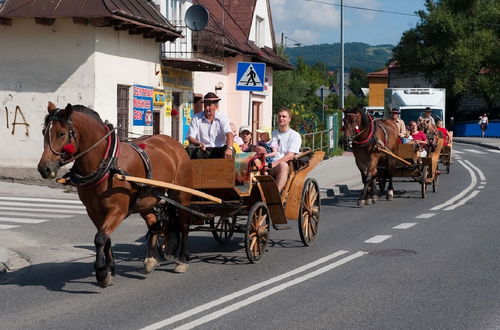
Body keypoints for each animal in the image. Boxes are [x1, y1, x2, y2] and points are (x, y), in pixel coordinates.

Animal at [37, 102, 192, 286]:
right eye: (44, 132)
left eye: (61, 133)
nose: (44, 168)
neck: (106, 163)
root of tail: (173, 142)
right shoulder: (94, 211)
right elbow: (106, 238)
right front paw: (110, 269)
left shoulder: (117, 210)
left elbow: (100, 238)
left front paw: (101, 272)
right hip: (146, 199)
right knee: (154, 223)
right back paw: (150, 259)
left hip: (180, 196)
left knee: (183, 225)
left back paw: (181, 260)